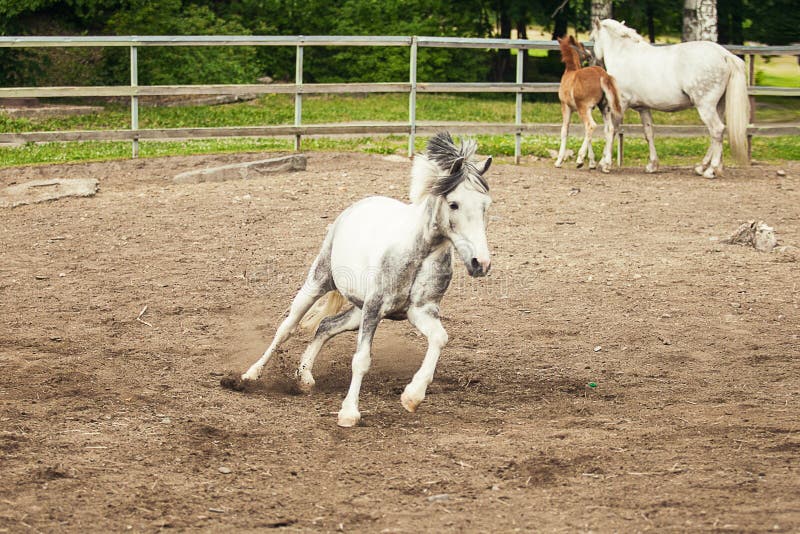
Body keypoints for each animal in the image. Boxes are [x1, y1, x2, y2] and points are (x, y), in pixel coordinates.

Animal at [231, 132, 493, 427]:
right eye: (453, 204)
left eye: (485, 205)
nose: (481, 263)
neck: (419, 252)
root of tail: (358, 206)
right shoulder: (374, 308)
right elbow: (361, 360)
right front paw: (349, 412)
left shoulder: (419, 311)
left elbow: (440, 338)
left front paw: (412, 397)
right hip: (319, 282)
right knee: (286, 328)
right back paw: (251, 374)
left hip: (357, 309)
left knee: (326, 326)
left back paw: (305, 377)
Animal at [555, 35, 622, 173]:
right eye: (581, 45)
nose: (589, 53)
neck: (570, 72)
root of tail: (603, 74)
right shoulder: (589, 109)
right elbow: (586, 133)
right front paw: (592, 163)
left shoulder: (566, 107)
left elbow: (565, 130)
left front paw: (559, 161)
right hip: (604, 108)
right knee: (609, 128)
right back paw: (606, 165)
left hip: (583, 108)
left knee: (591, 125)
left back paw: (580, 159)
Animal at [590, 18, 750, 178]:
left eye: (593, 39)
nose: (593, 62)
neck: (624, 55)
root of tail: (724, 55)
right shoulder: (643, 108)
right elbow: (648, 133)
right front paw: (652, 165)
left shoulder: (620, 104)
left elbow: (611, 130)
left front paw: (605, 164)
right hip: (718, 107)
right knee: (716, 134)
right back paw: (703, 167)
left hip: (706, 107)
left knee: (717, 130)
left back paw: (711, 170)